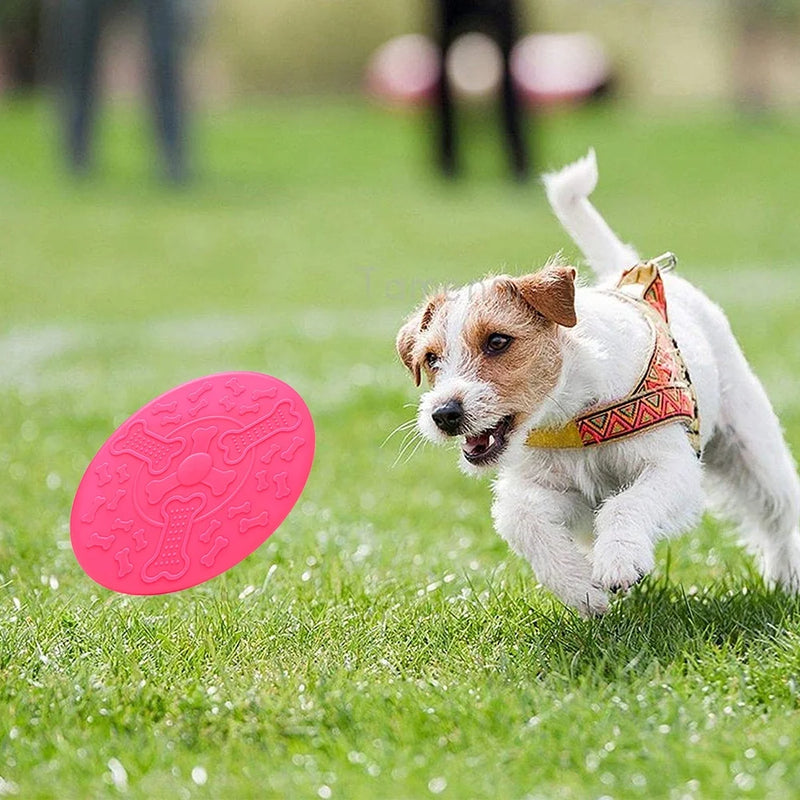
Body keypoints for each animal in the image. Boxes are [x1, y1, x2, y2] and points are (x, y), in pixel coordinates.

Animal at [396, 150, 800, 616]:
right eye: (431, 359)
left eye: (497, 341)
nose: (444, 414)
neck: (573, 412)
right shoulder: (558, 490)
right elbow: (520, 518)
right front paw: (580, 588)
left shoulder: (671, 469)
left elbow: (627, 504)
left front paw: (620, 560)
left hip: (756, 452)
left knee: (780, 515)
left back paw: (786, 579)